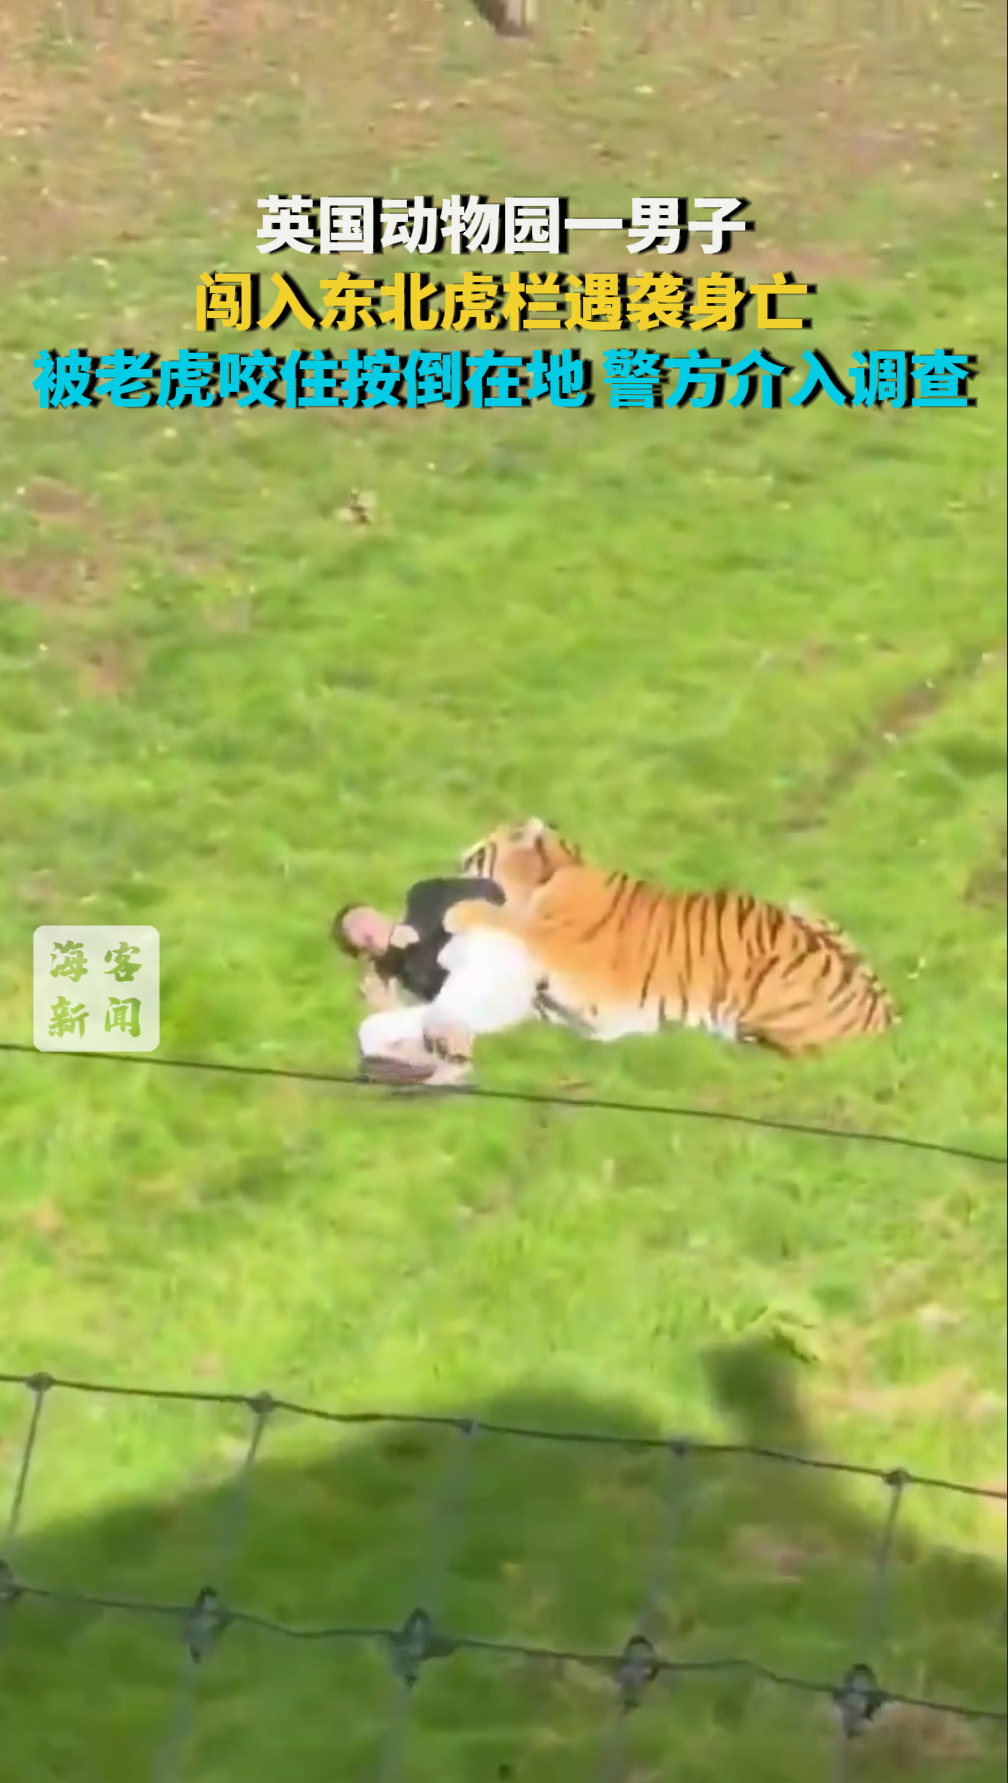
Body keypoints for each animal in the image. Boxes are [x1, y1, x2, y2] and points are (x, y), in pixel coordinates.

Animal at [356, 817, 897, 1080]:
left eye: (474, 858)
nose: (449, 869)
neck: (558, 874)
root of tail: (887, 1023)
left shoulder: (558, 949)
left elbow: (510, 922)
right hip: (807, 909)